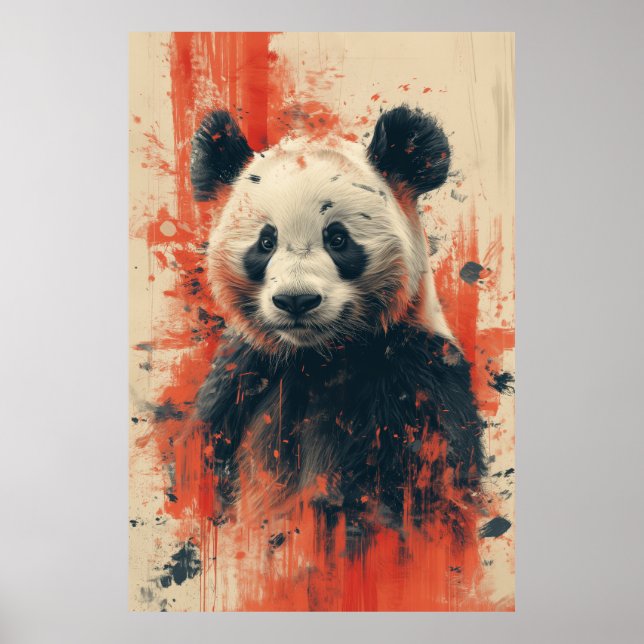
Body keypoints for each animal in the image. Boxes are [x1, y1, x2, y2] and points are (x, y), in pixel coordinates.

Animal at [191, 105, 486, 545]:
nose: (296, 300)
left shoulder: (413, 377)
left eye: (338, 239)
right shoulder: (241, 373)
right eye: (266, 242)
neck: (317, 356)